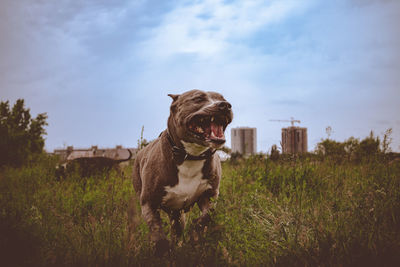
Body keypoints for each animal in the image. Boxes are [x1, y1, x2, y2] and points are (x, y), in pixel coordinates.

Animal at [132, 89, 231, 255]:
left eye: (222, 98)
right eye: (198, 98)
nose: (225, 105)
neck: (190, 156)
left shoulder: (210, 196)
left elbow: (206, 217)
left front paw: (194, 233)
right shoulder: (149, 203)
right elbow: (157, 231)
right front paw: (162, 250)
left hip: (177, 214)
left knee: (177, 228)